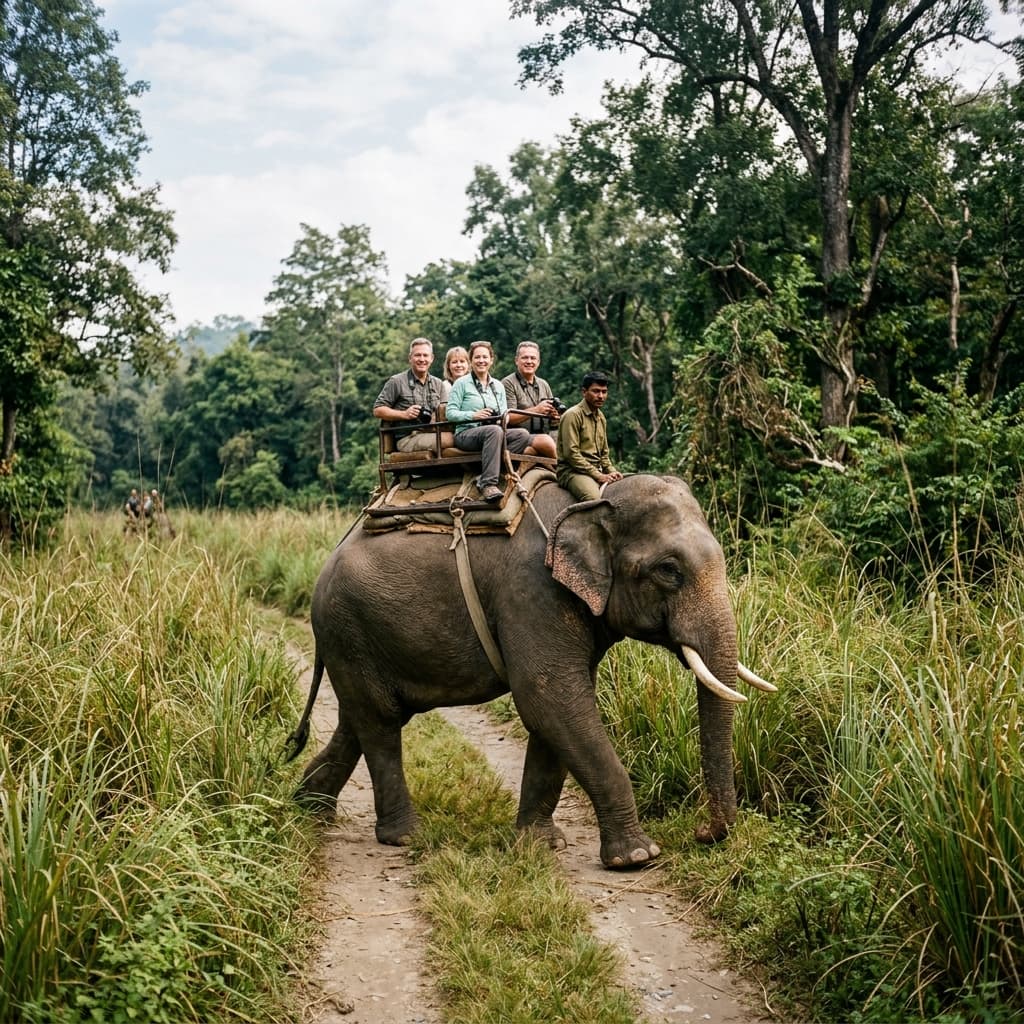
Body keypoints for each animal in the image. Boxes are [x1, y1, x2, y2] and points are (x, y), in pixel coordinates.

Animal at [286, 473, 774, 869]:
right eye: (668, 570)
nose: (702, 833)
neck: (594, 501)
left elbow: (555, 710)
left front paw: (542, 844)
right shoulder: (532, 591)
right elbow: (548, 697)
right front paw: (638, 857)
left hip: (357, 639)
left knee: (361, 719)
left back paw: (310, 807)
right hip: (348, 626)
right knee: (381, 724)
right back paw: (404, 836)